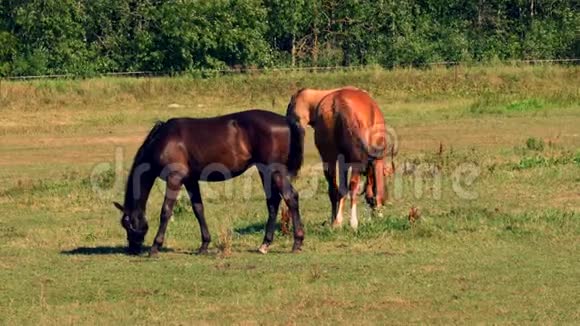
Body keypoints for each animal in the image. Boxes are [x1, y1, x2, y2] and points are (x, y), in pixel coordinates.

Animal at [111, 109, 306, 255]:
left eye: (127, 224)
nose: (132, 249)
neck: (164, 140)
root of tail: (285, 120)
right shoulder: (190, 180)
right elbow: (198, 209)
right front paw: (204, 245)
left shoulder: (175, 178)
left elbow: (166, 211)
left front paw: (155, 246)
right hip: (264, 170)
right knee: (273, 202)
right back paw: (265, 244)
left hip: (275, 170)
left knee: (290, 197)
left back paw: (297, 242)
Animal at [286, 86, 388, 229]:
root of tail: (340, 104)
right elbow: (377, 188)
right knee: (352, 186)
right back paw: (351, 222)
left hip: (330, 158)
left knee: (336, 189)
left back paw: (337, 221)